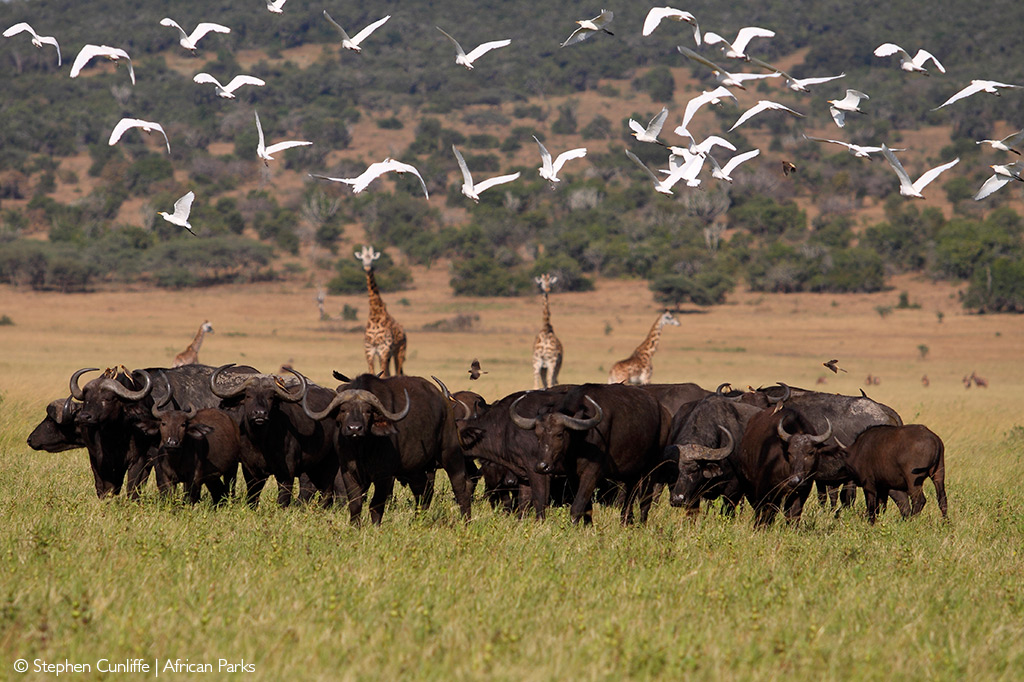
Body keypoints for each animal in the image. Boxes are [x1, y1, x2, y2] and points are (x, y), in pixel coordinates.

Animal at [358, 244, 405, 374]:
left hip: (399, 351)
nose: (367, 266)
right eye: (362, 258)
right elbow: (372, 372)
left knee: (398, 371)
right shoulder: (369, 350)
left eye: (372, 258)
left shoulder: (384, 349)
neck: (375, 313)